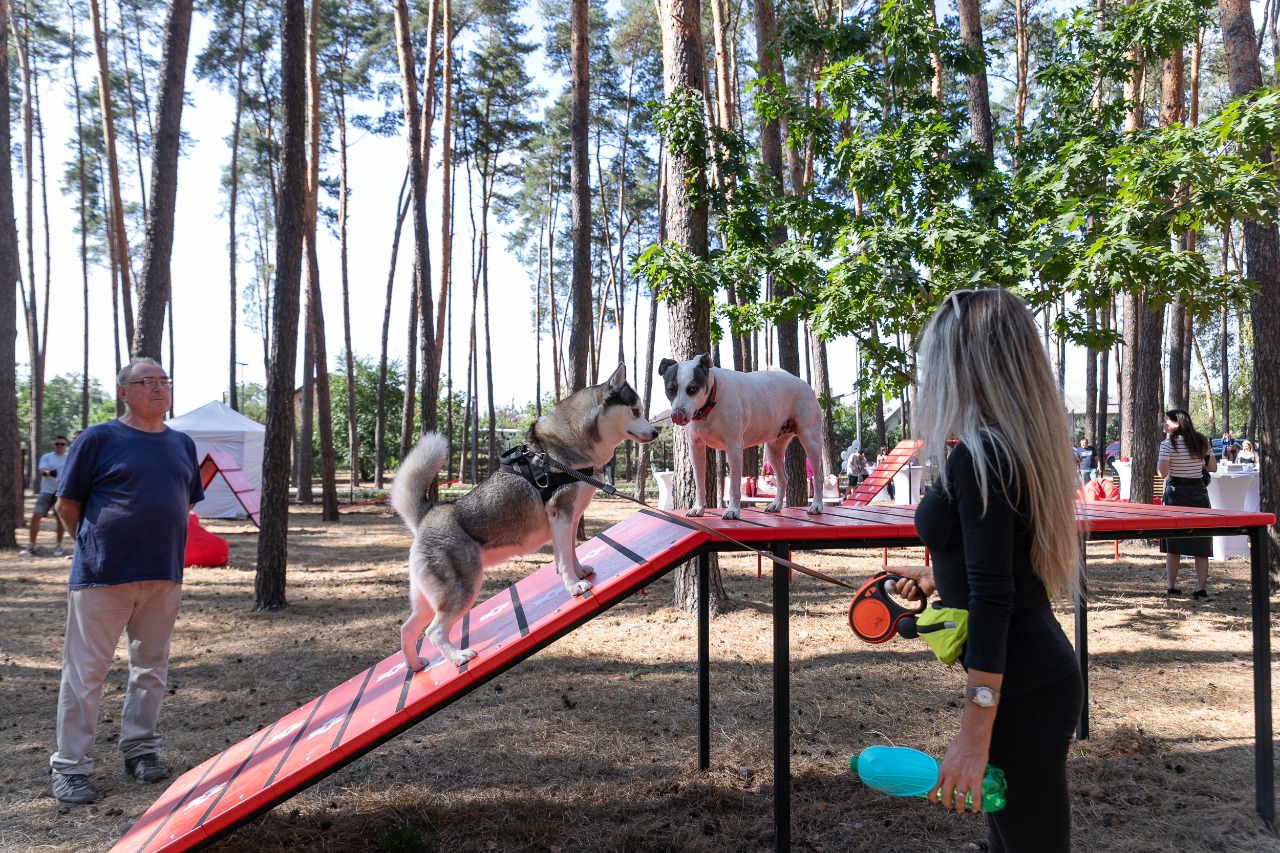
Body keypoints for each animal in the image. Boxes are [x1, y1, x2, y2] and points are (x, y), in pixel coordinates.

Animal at [389, 361, 655, 666]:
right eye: (635, 410)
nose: (656, 433)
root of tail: (426, 517)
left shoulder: (571, 519)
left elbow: (570, 553)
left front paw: (580, 574)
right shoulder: (561, 515)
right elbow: (564, 560)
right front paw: (574, 586)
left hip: (427, 600)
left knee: (407, 629)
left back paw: (415, 665)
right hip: (462, 590)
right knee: (432, 631)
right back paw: (459, 657)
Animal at [660, 350, 829, 517]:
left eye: (692, 389)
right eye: (670, 390)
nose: (677, 413)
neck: (711, 402)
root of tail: (803, 383)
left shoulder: (733, 448)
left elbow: (734, 486)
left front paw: (733, 510)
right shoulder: (696, 450)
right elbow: (700, 484)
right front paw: (698, 508)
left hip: (811, 441)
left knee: (818, 476)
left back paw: (816, 506)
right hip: (773, 449)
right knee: (782, 478)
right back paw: (776, 505)